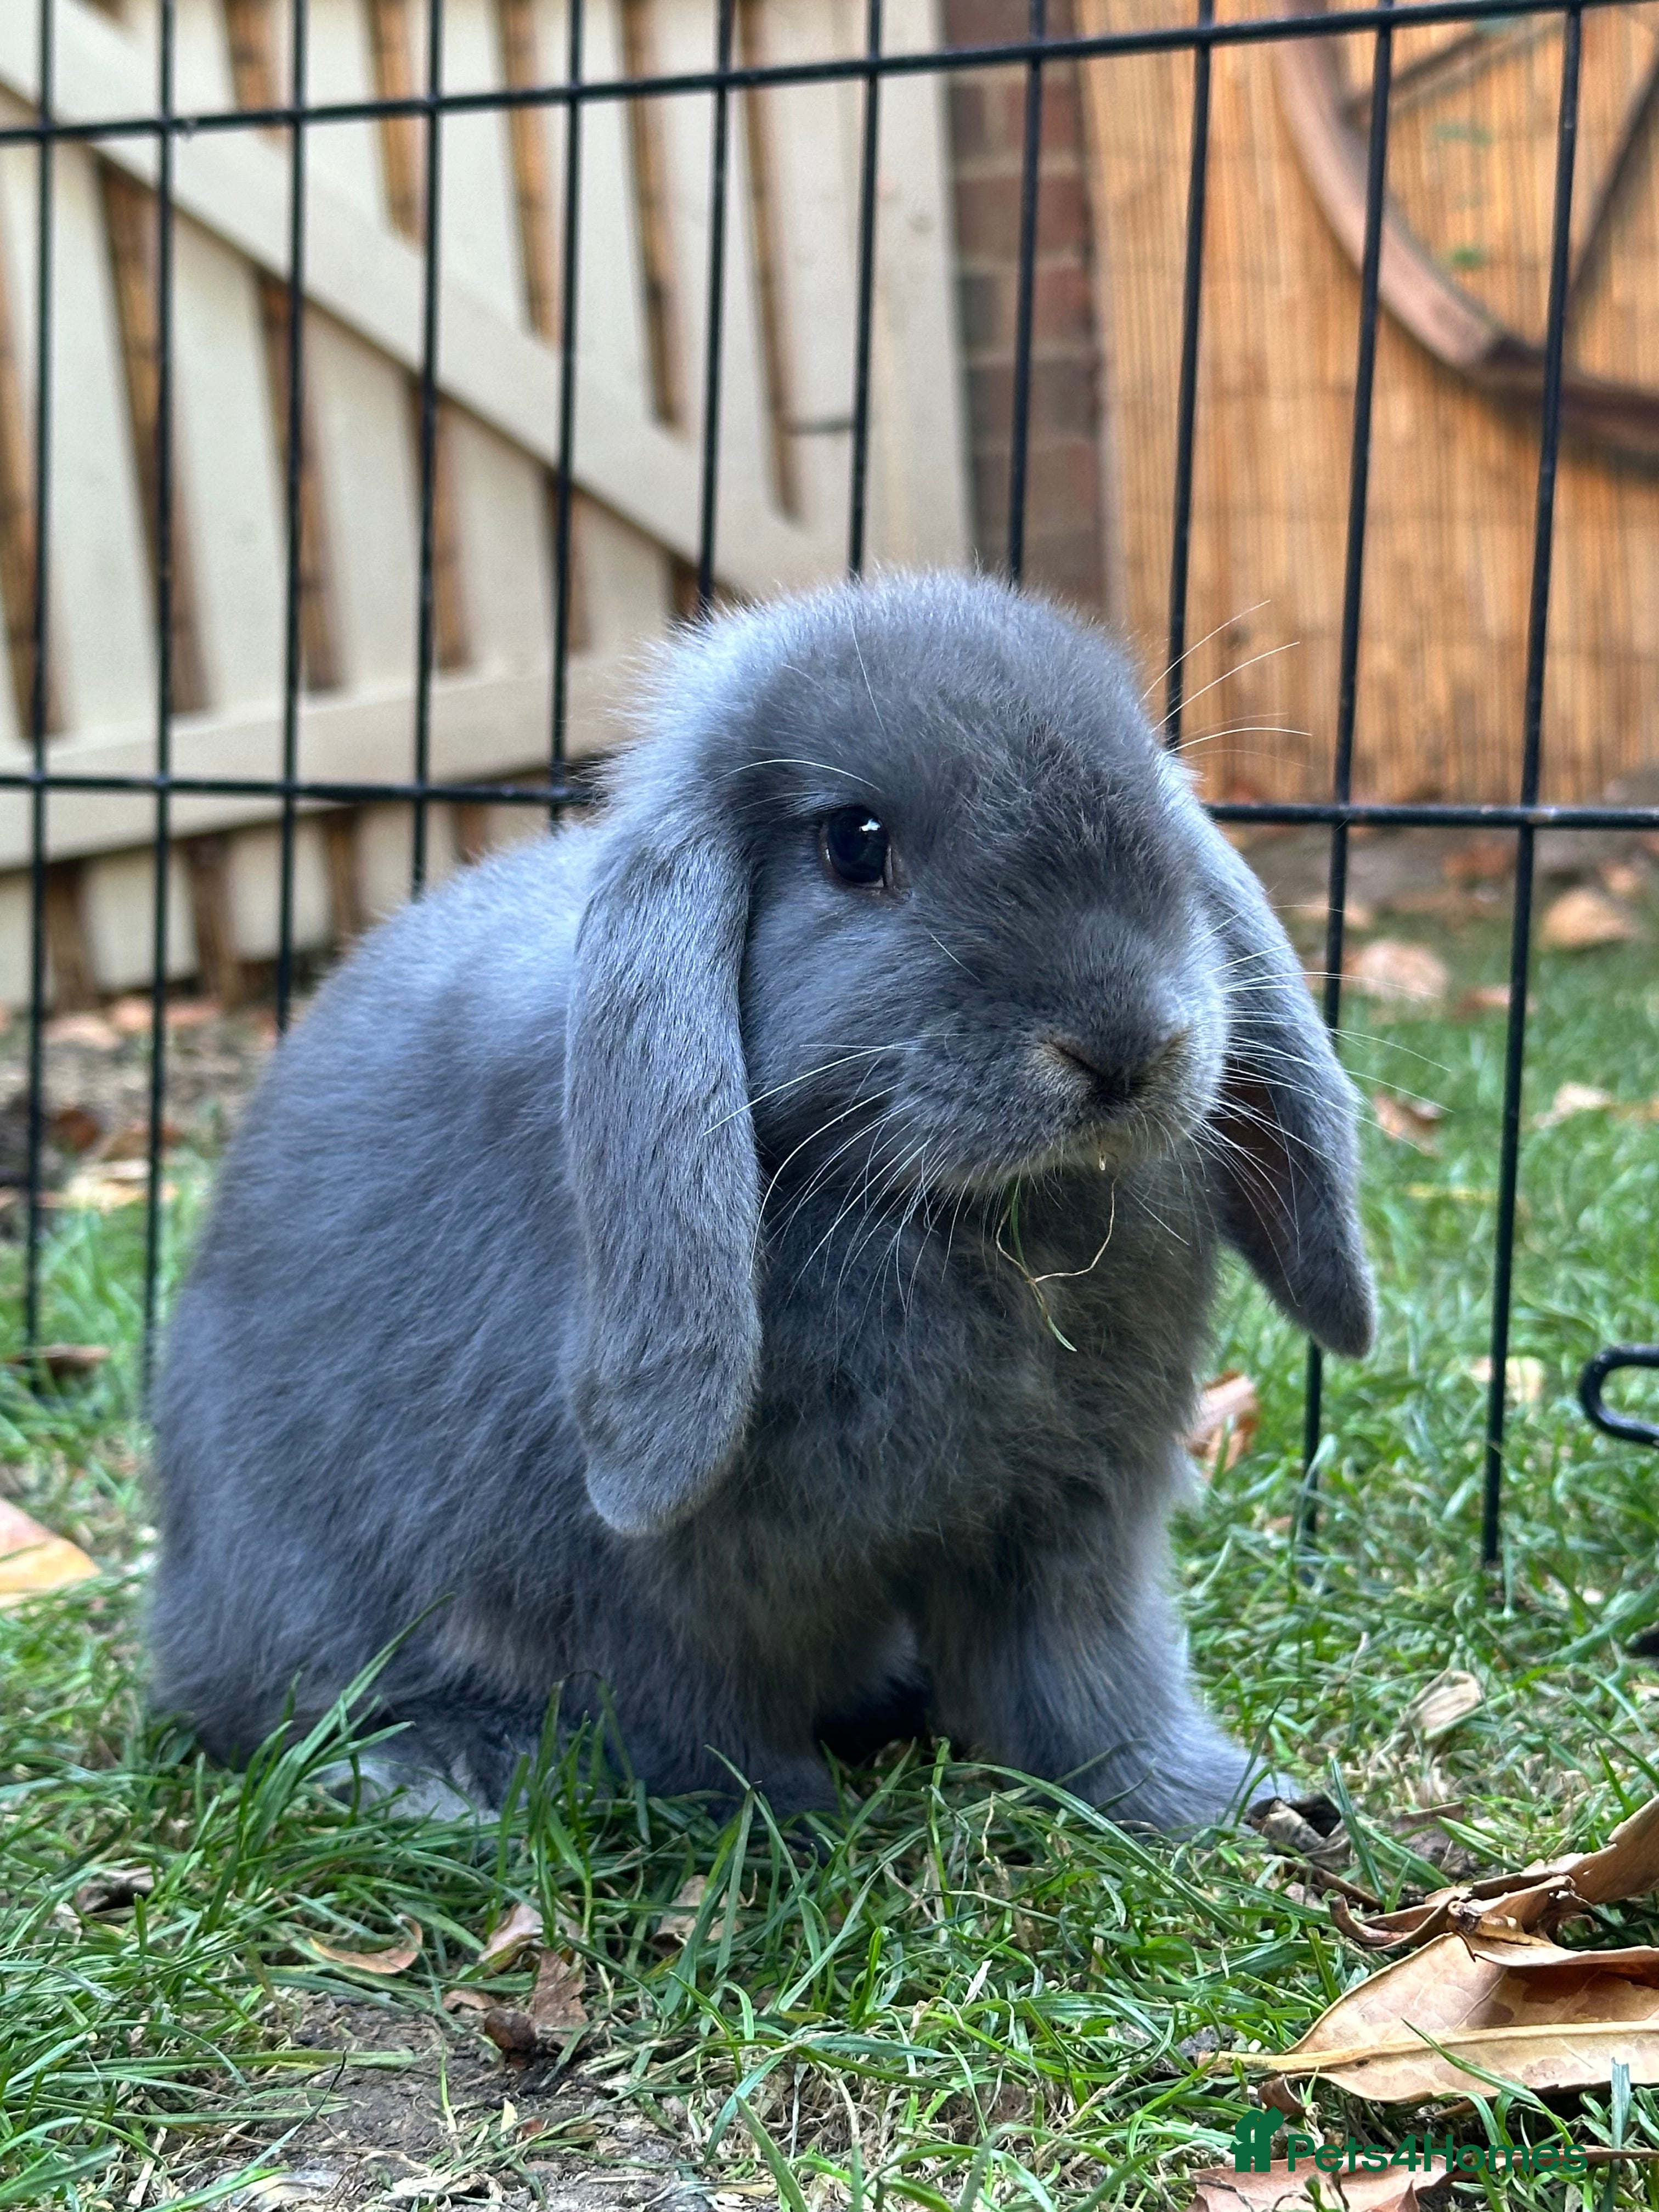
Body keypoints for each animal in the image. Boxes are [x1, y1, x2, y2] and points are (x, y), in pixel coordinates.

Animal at [149, 570, 1373, 1828]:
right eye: (855, 844)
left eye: (1150, 799)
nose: (1123, 1047)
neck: (967, 1213)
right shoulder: (648, 1589)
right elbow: (698, 1724)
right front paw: (788, 1827)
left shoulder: (1070, 1526)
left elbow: (1085, 1683)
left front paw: (1215, 1805)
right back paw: (450, 1776)